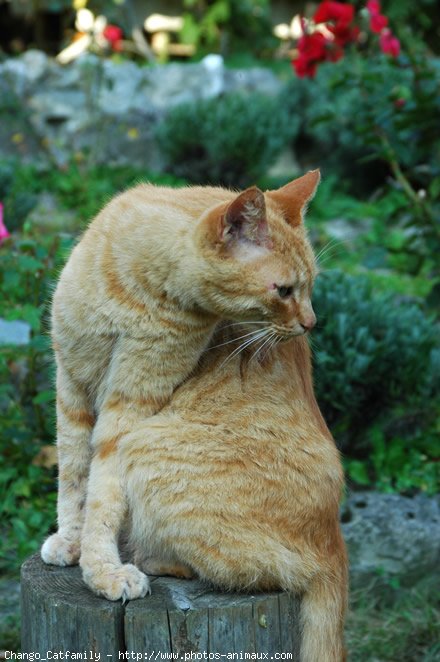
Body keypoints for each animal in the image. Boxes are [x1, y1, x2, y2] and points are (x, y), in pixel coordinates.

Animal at [40, 172, 348, 660]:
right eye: (284, 290)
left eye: (310, 286)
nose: (310, 323)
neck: (138, 283)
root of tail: (334, 544)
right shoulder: (73, 386)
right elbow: (73, 479)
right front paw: (71, 541)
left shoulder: (130, 405)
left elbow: (102, 495)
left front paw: (101, 568)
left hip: (149, 447)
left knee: (255, 572)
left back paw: (147, 559)